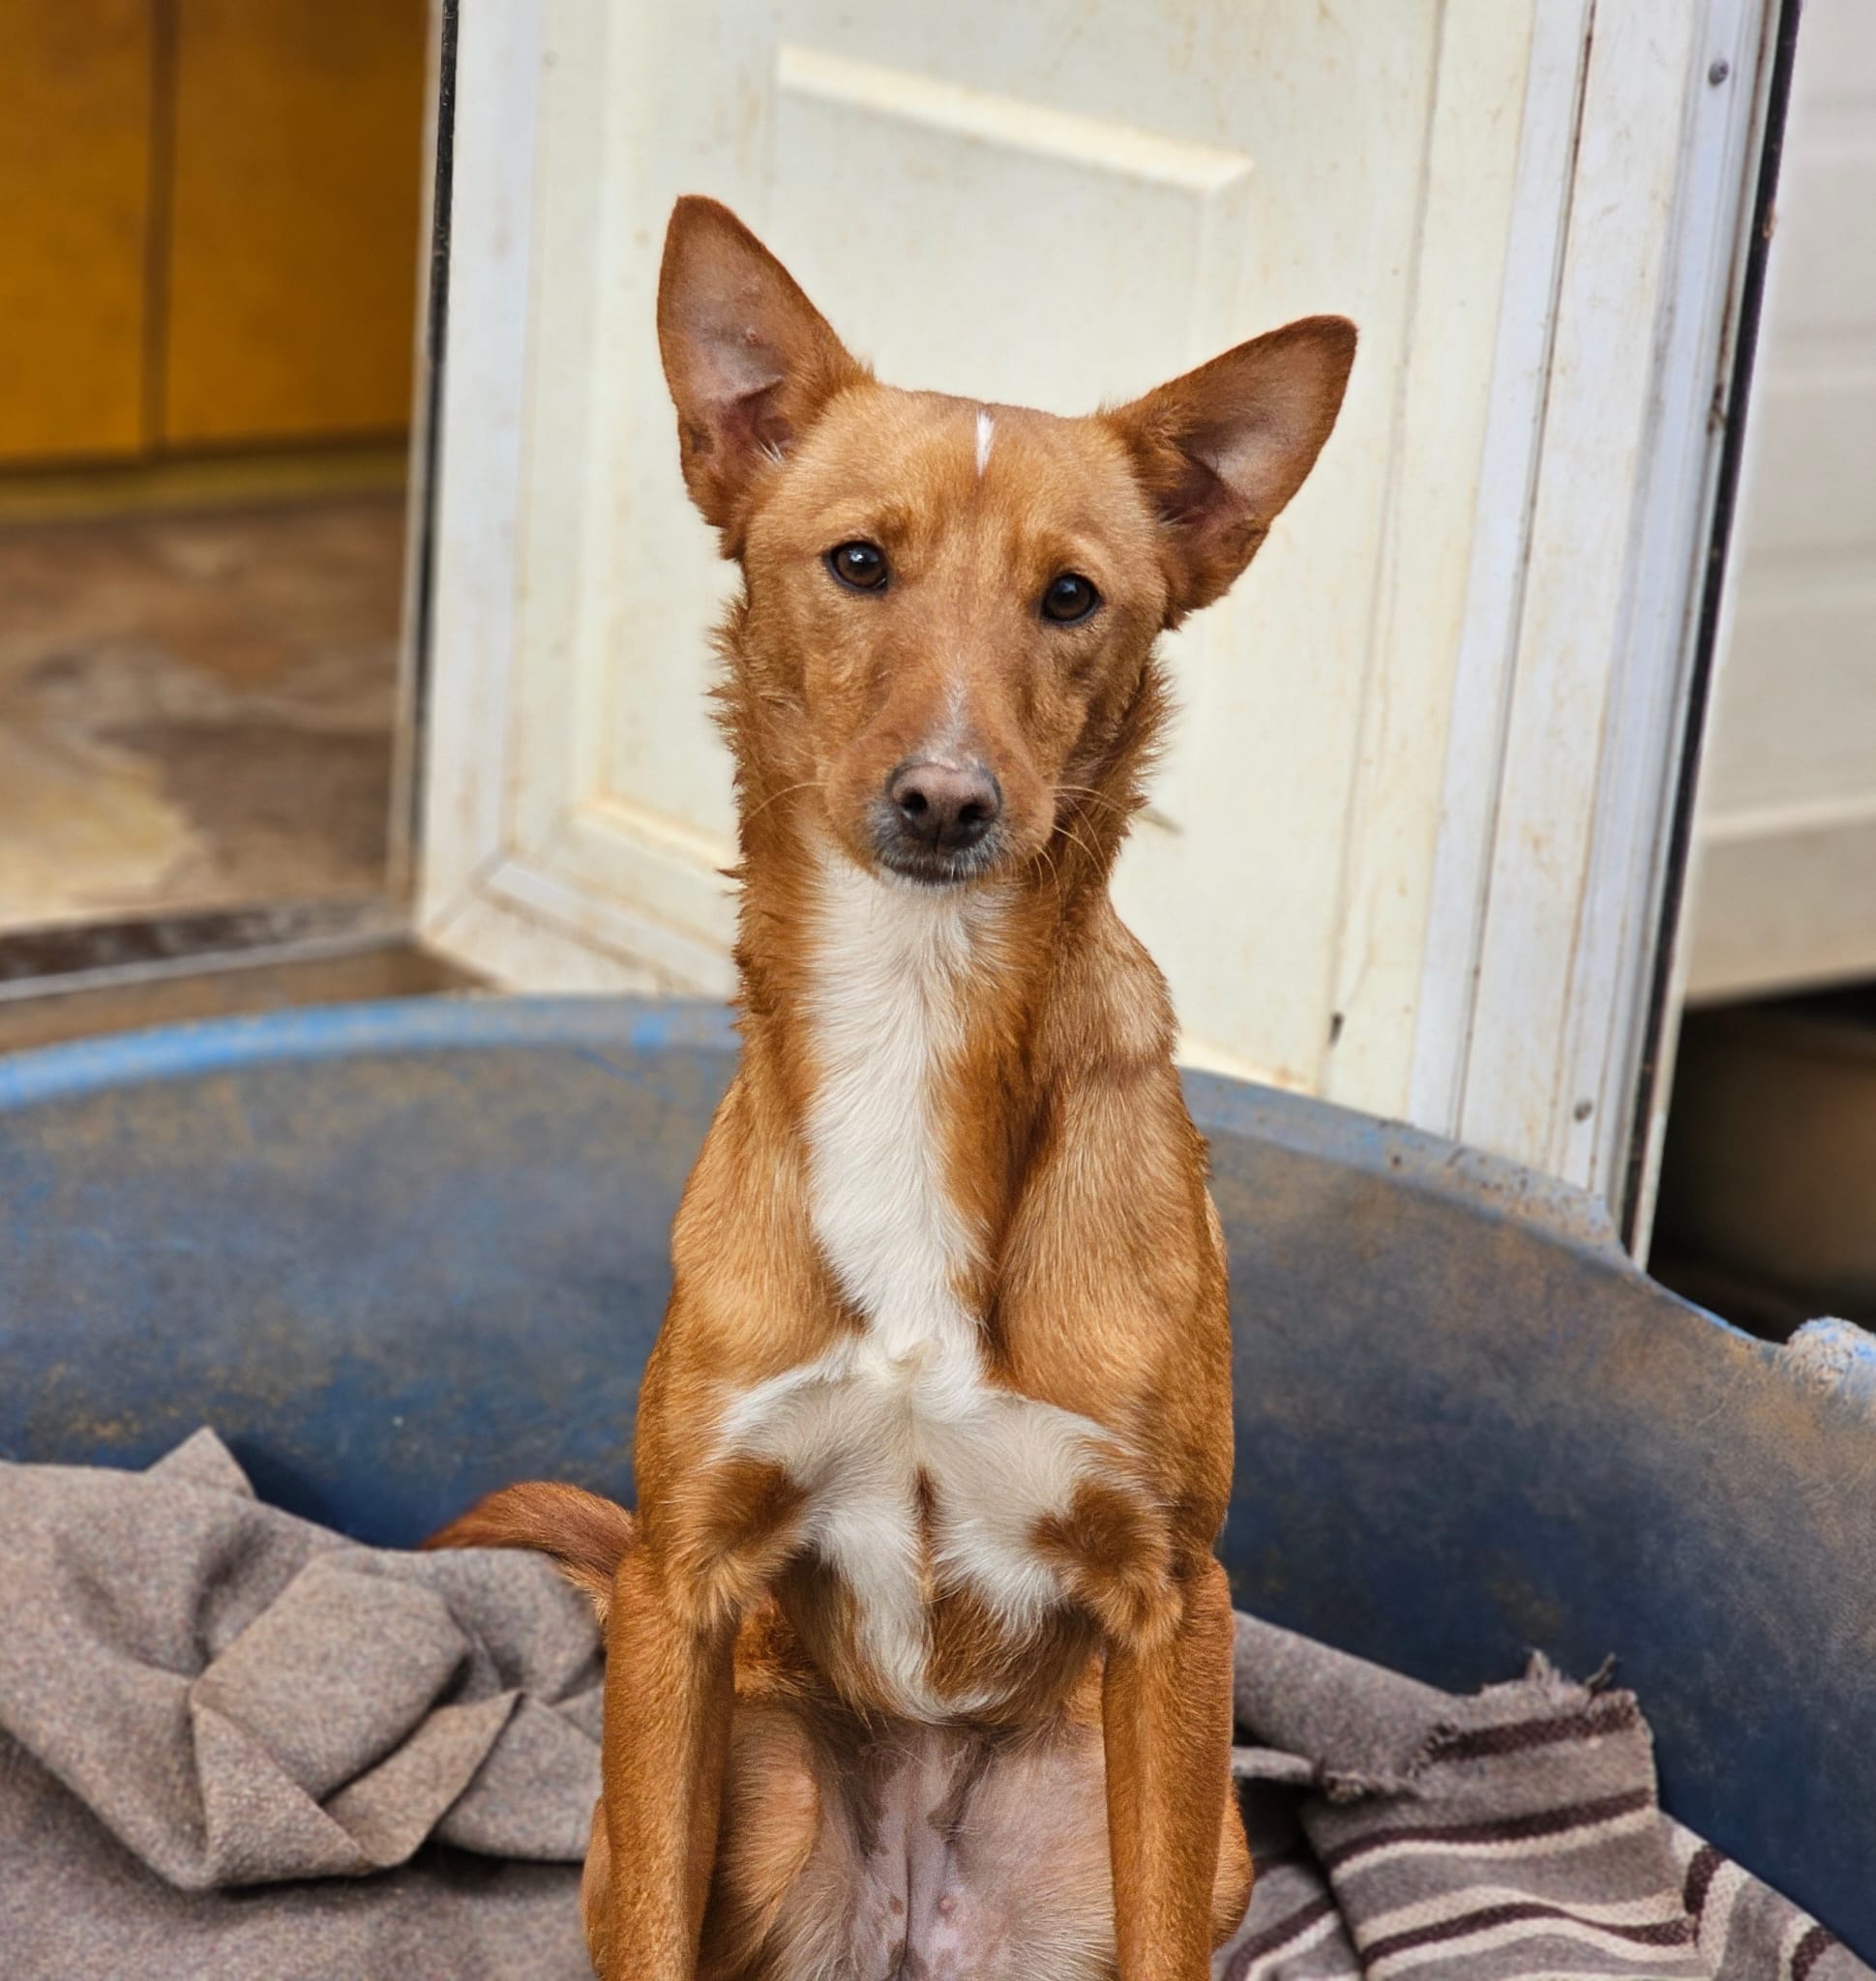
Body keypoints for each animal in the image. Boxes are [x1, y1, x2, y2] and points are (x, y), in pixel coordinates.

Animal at [429, 195, 1354, 1981]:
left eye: (1070, 597)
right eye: (858, 561)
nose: (945, 798)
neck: (916, 1020)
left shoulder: (1174, 1602)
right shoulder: (680, 1588)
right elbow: (654, 1917)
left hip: (1179, 1818)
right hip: (760, 1777)